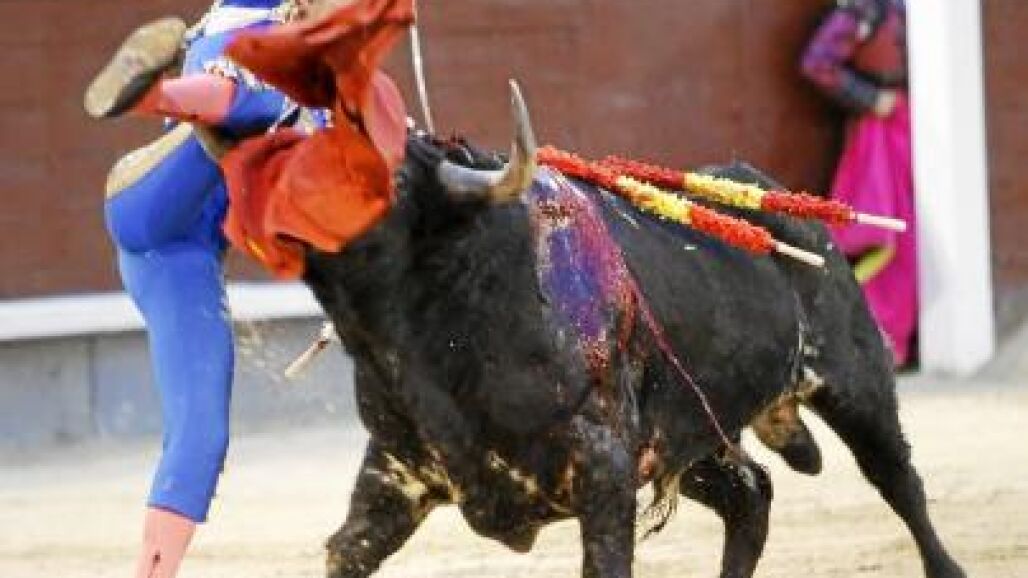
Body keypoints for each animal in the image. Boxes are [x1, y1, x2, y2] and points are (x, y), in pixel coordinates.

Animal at [300, 85, 965, 578]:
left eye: (385, 174)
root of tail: (769, 188)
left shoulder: (604, 472)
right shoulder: (395, 474)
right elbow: (344, 552)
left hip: (855, 384)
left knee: (898, 480)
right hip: (691, 438)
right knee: (752, 494)